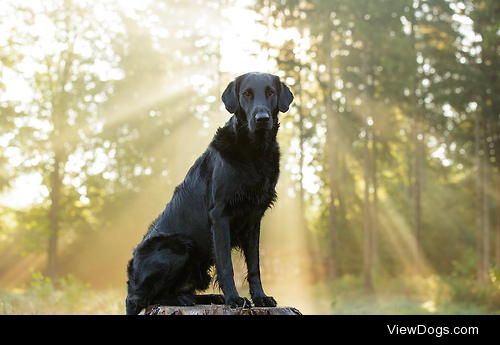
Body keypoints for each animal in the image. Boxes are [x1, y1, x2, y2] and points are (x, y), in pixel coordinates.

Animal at [125, 72, 294, 314]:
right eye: (247, 94)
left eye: (270, 92)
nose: (262, 118)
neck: (254, 151)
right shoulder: (220, 214)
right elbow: (226, 265)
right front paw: (234, 299)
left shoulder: (254, 219)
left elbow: (254, 265)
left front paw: (260, 297)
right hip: (177, 247)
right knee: (147, 297)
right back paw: (186, 300)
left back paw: (210, 297)